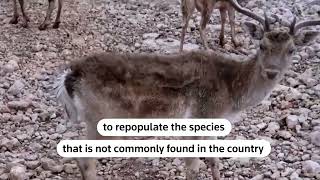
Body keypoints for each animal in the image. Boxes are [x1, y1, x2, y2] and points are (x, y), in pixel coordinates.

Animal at [55, 0, 320, 179]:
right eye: (262, 45)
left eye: (292, 49)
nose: (272, 72)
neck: (231, 95)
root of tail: (70, 74)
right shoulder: (199, 116)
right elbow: (192, 165)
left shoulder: (213, 122)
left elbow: (214, 160)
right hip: (101, 117)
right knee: (85, 160)